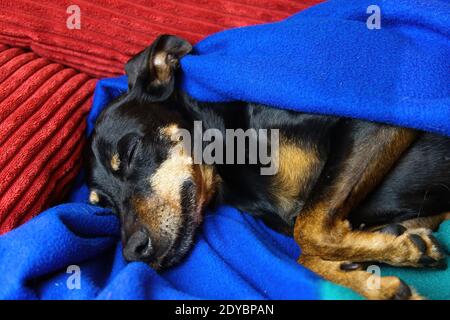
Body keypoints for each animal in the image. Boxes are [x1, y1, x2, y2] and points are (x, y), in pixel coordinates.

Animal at [88, 35, 450, 300]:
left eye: (131, 151)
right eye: (102, 205)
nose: (133, 252)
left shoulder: (377, 121)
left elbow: (309, 229)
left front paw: (400, 252)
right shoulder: (424, 214)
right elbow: (305, 252)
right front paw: (381, 277)